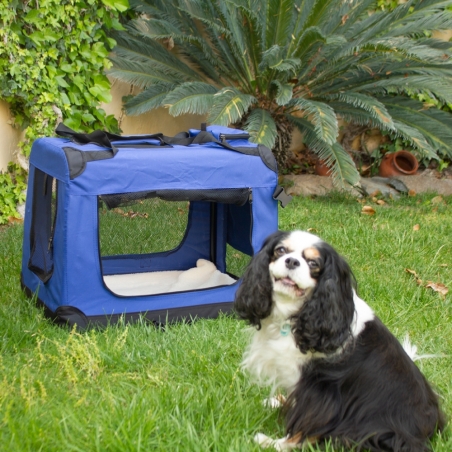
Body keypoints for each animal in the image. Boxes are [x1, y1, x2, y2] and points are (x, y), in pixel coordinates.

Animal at [234, 230, 445, 451]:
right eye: (281, 250)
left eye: (313, 263)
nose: (292, 261)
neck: (297, 315)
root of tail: (428, 431)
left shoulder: (321, 389)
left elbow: (306, 424)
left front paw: (276, 443)